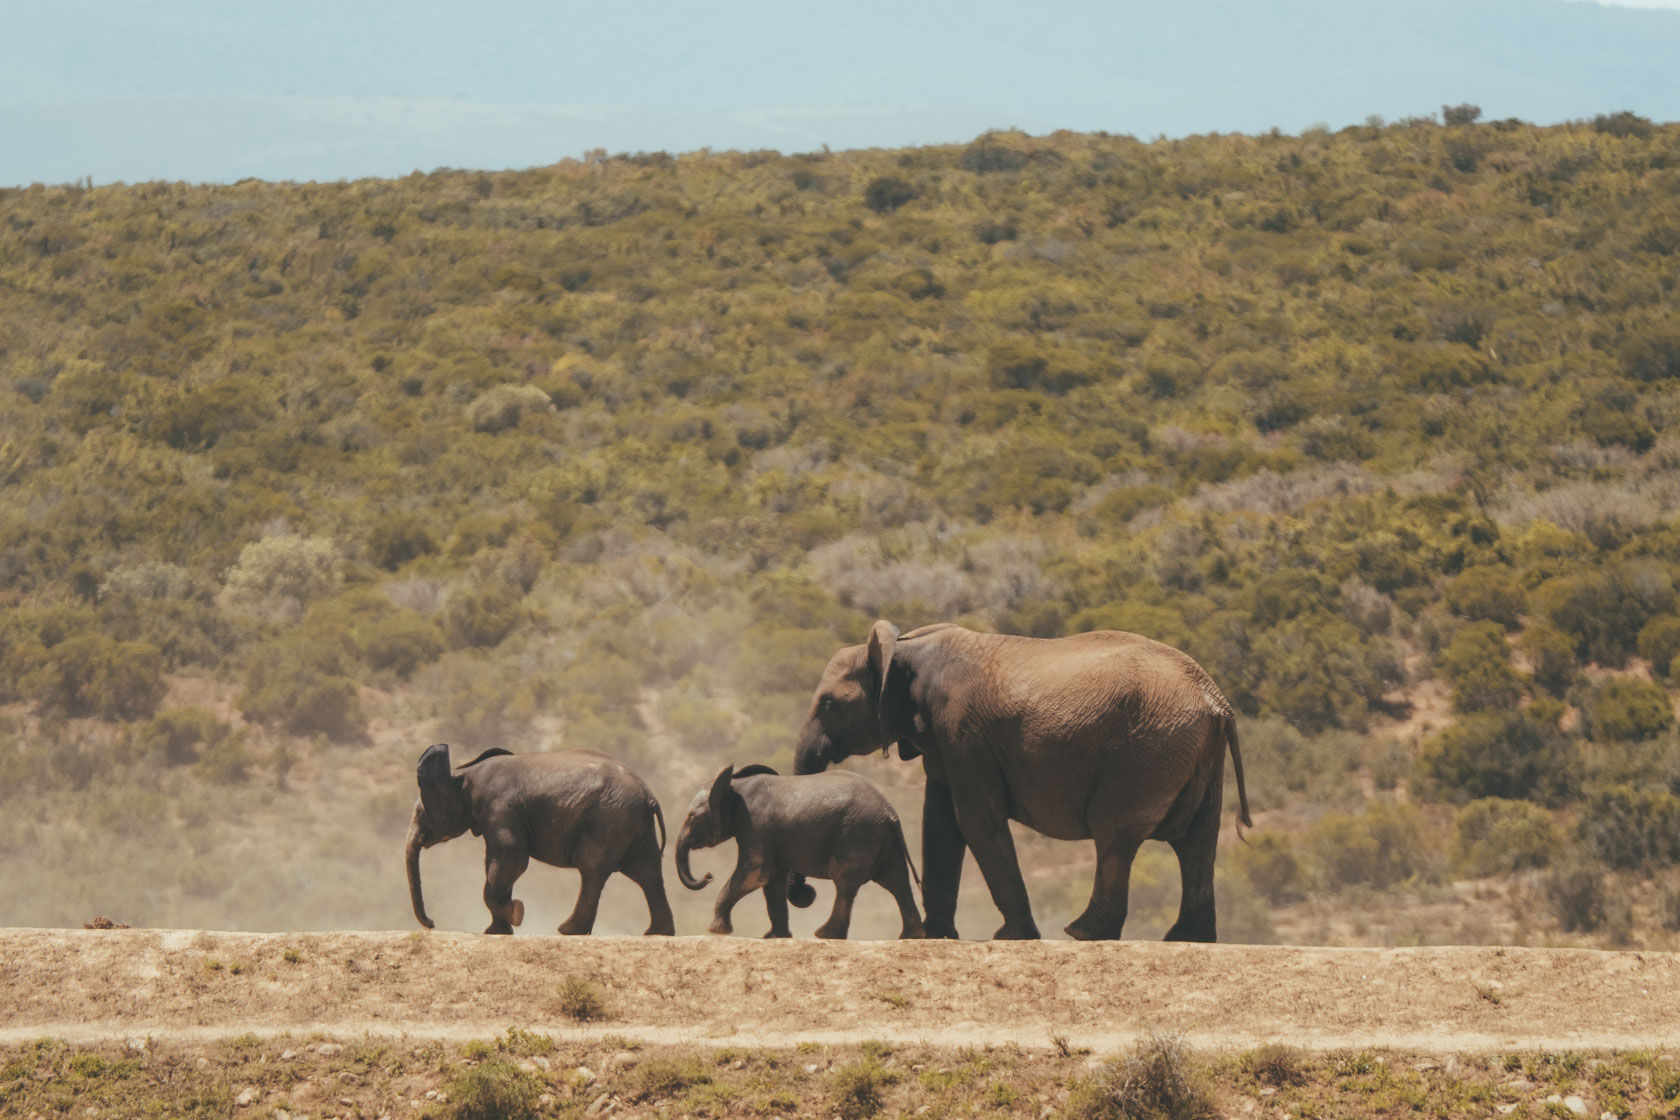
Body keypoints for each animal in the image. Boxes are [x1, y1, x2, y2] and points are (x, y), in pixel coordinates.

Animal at [403, 745, 672, 940]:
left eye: (420, 815)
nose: (432, 923)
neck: (464, 772)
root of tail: (650, 795)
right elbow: (499, 864)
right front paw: (498, 931)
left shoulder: (501, 810)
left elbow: (511, 860)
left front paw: (516, 912)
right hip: (633, 825)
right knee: (647, 873)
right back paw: (657, 933)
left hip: (609, 821)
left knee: (593, 870)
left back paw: (568, 931)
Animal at [672, 765, 934, 940]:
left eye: (691, 818)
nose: (708, 875)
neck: (734, 785)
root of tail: (891, 812)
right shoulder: (767, 833)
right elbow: (772, 880)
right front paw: (775, 937)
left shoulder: (756, 825)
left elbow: (755, 873)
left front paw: (716, 931)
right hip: (880, 838)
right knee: (896, 881)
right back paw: (911, 937)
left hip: (857, 833)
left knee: (846, 882)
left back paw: (825, 934)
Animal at [792, 621, 1256, 947]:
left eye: (829, 704)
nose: (803, 894)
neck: (903, 648)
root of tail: (1217, 700)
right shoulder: (944, 742)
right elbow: (940, 824)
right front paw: (938, 934)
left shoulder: (963, 731)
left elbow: (974, 820)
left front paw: (1011, 936)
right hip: (1193, 752)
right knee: (1197, 843)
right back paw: (1188, 938)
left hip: (1147, 751)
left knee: (1117, 837)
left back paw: (1083, 933)